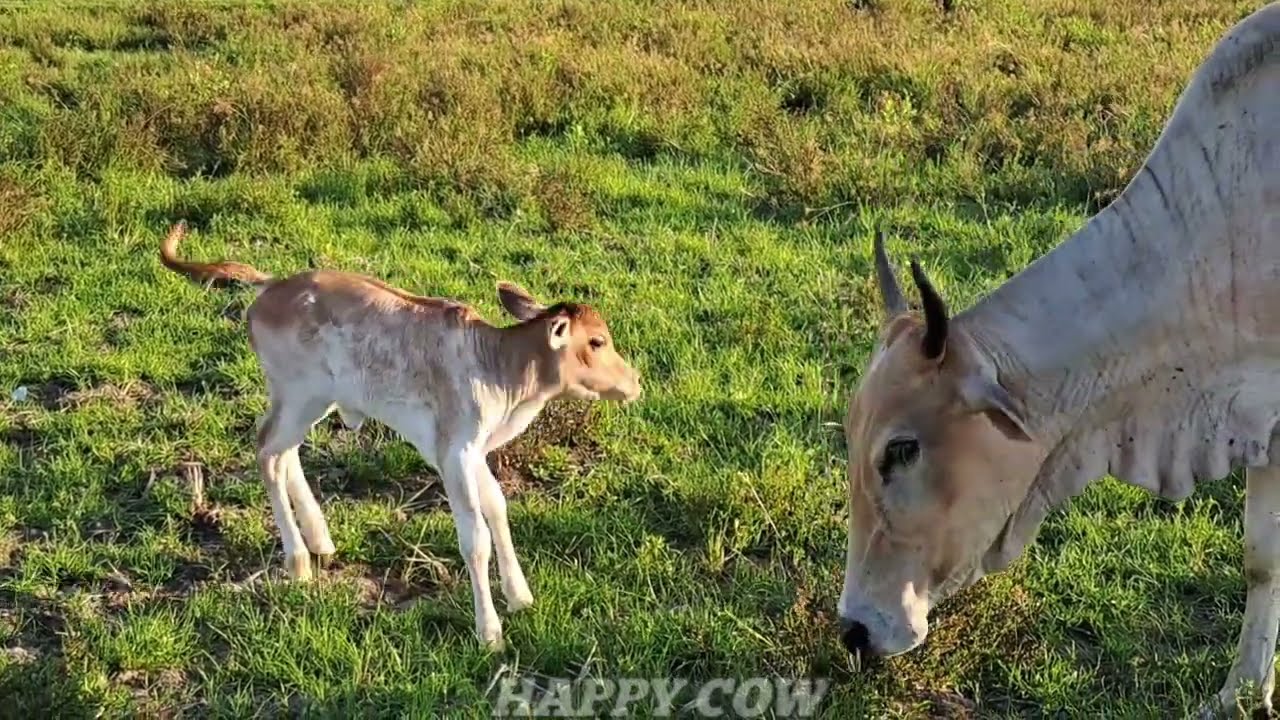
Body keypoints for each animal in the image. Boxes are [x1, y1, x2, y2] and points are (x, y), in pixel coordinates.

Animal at [159, 222, 642, 650]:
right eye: (597, 342)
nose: (635, 381)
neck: (501, 369)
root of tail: (271, 285)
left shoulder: (473, 451)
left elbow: (498, 509)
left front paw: (520, 596)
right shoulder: (453, 451)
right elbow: (475, 538)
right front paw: (490, 633)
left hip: (307, 402)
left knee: (285, 453)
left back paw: (320, 540)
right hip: (298, 396)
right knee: (267, 453)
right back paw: (298, 561)